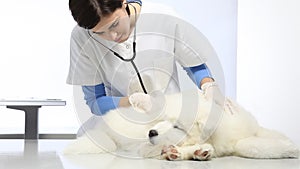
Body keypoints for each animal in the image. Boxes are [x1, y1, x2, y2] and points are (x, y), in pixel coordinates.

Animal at [62, 89, 298, 160]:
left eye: (177, 127)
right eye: (164, 120)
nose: (152, 132)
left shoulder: (249, 128)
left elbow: (258, 141)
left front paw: (288, 144)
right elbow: (249, 146)